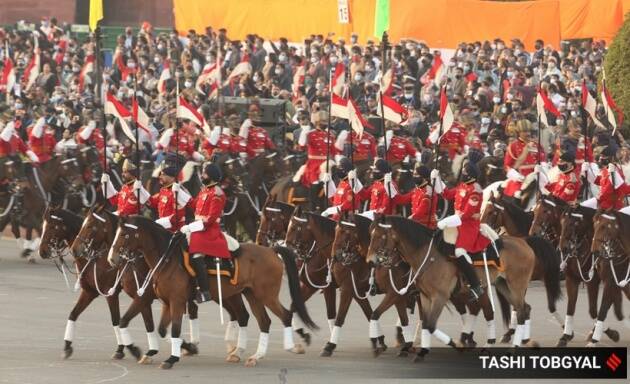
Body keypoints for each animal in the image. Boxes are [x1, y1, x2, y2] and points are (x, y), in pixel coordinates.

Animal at [108, 216, 318, 368]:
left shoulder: (176, 301)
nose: (112, 258)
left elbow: (174, 328)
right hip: (250, 295)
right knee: (262, 321)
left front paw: (172, 358)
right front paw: (160, 350)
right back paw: (251, 355)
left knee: (285, 315)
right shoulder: (165, 302)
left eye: (124, 234)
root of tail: (271, 250)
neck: (166, 258)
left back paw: (288, 347)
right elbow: (157, 328)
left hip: (266, 295)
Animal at [368, 216, 552, 360]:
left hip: (516, 286)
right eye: (371, 234)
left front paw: (455, 345)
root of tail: (523, 241)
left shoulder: (437, 297)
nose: (371, 260)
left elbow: (430, 325)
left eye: (381, 235)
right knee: (520, 309)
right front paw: (421, 350)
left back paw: (512, 349)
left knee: (518, 312)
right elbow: (425, 323)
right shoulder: (424, 297)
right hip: (503, 285)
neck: (427, 256)